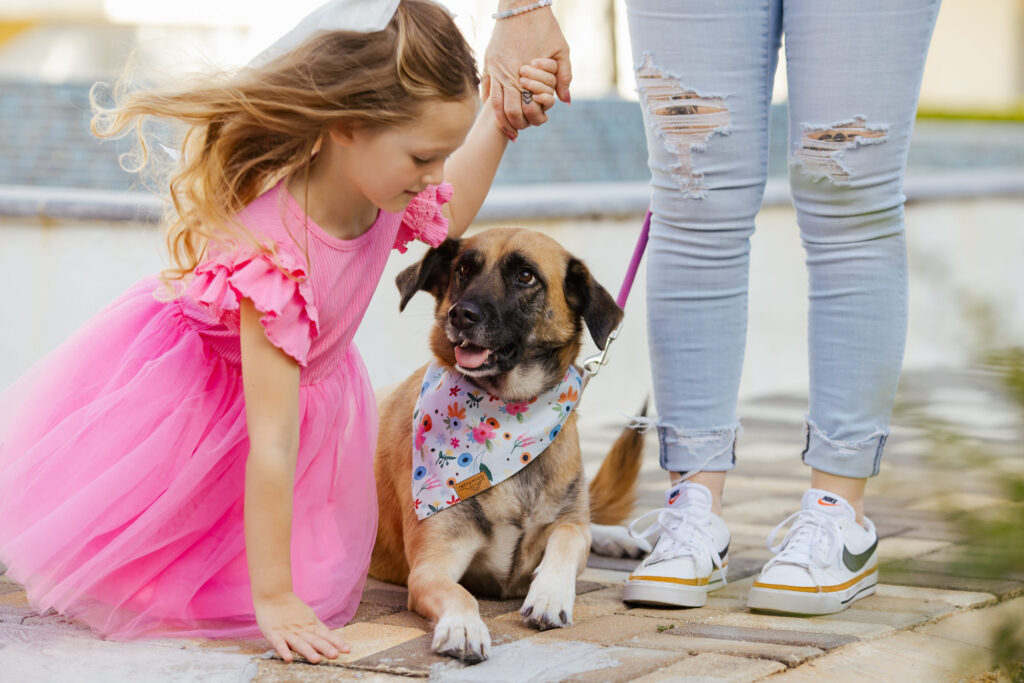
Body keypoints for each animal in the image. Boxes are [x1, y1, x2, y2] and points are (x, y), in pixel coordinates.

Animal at [368, 228, 643, 663]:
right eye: (463, 270)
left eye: (525, 276)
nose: (461, 315)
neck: (510, 415)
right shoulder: (431, 567)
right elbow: (461, 594)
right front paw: (463, 627)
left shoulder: (568, 524)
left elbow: (569, 536)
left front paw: (549, 595)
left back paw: (619, 537)